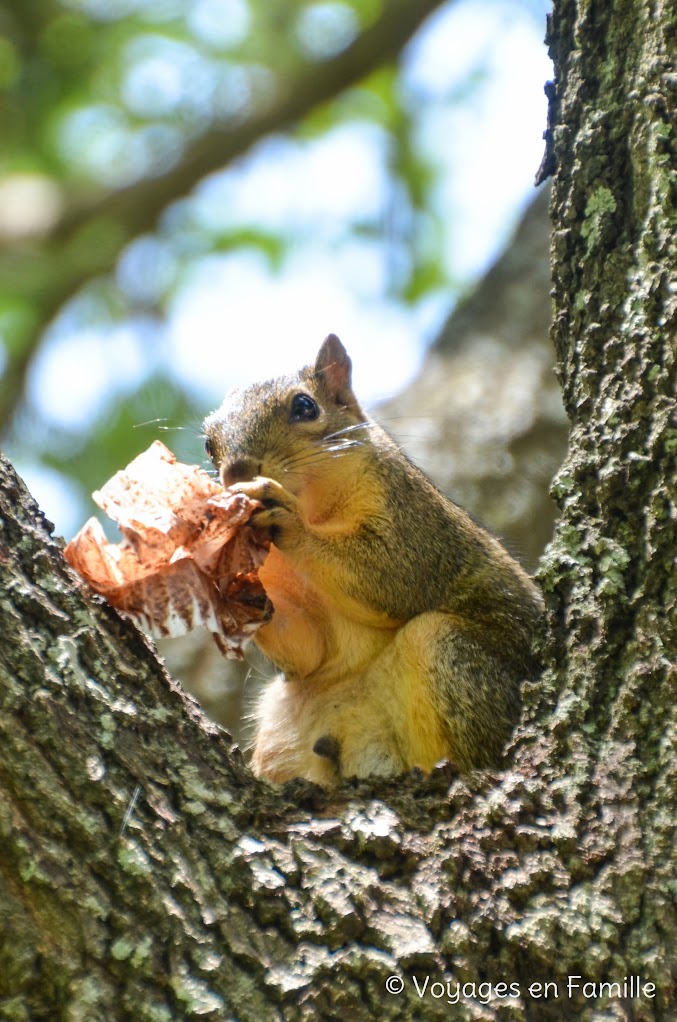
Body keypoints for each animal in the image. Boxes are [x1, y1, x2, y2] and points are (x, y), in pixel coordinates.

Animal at [204, 335, 544, 780]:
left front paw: (285, 517)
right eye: (208, 443)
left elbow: (390, 576)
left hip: (448, 655)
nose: (237, 473)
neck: (317, 507)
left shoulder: (413, 523)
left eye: (305, 407)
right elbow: (307, 651)